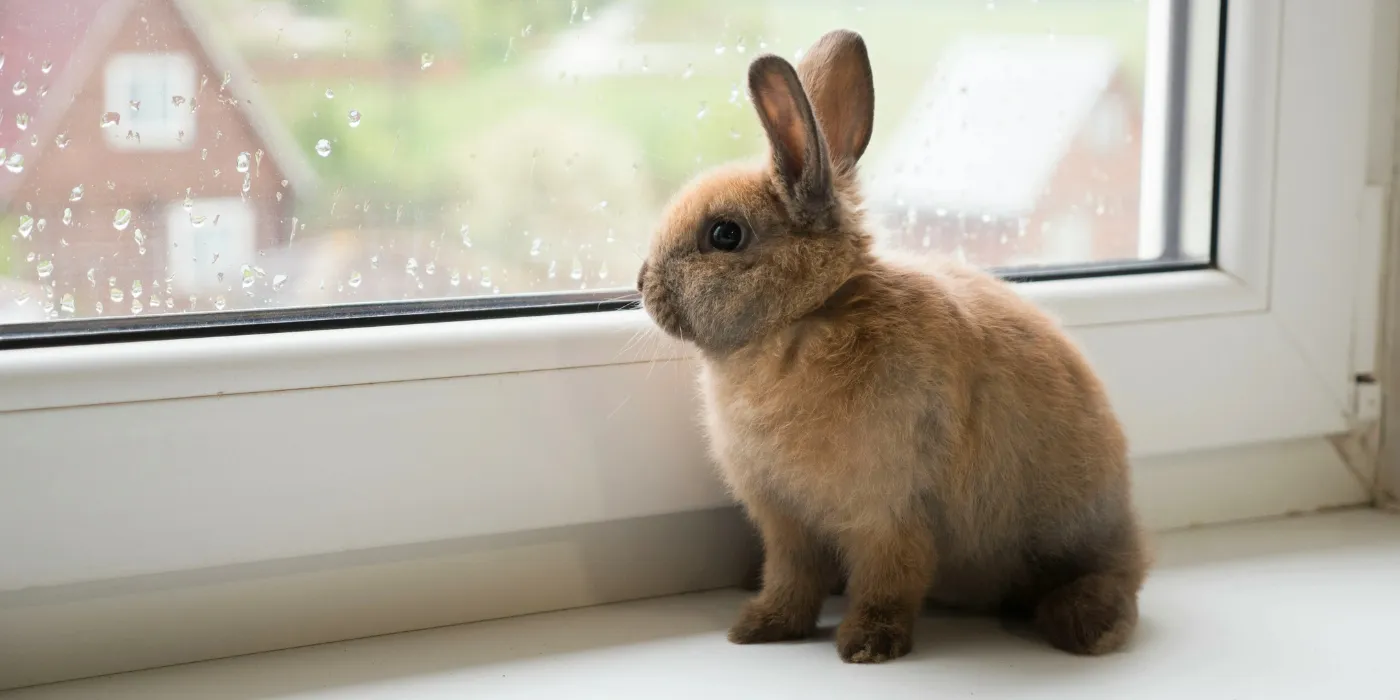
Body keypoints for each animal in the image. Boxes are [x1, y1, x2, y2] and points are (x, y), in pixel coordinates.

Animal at [637, 29, 1147, 664]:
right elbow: (790, 578)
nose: (641, 283)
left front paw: (867, 645)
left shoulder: (888, 513)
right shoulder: (786, 524)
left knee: (1114, 580)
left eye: (725, 234)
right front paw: (760, 627)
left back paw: (1087, 625)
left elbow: (891, 578)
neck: (805, 317)